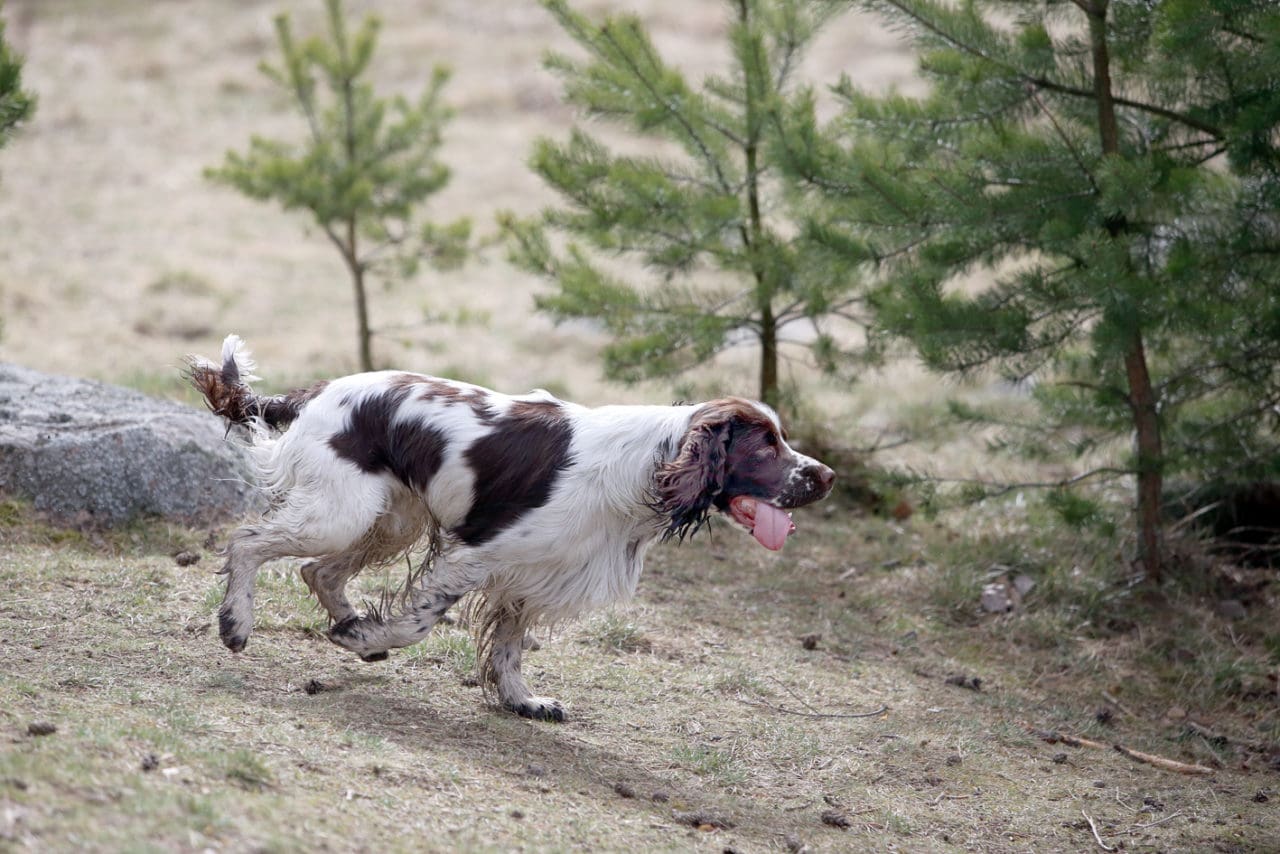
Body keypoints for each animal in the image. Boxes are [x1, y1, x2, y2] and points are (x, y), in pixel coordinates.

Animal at [185, 332, 834, 722]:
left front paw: (524, 700)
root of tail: (316, 391)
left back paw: (348, 623)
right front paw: (370, 637)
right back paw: (237, 623)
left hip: (390, 518)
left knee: (318, 571)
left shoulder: (533, 575)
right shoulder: (477, 555)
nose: (825, 476)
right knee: (249, 542)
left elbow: (509, 649)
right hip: (342, 511)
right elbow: (420, 623)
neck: (644, 466)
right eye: (766, 445)